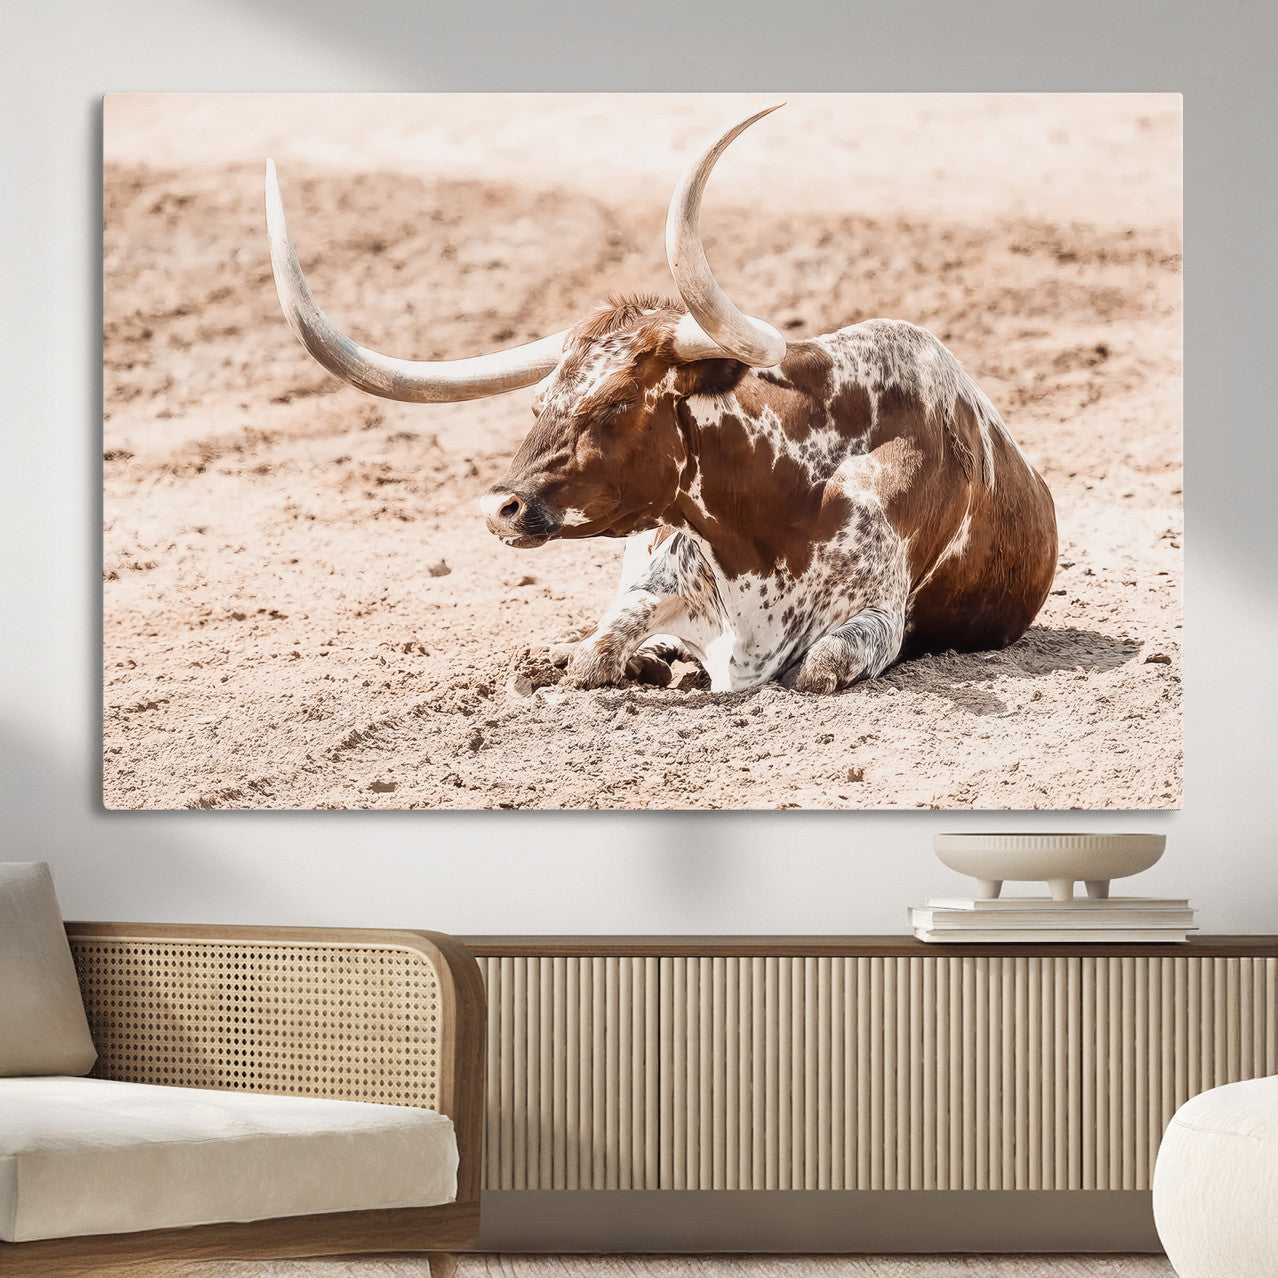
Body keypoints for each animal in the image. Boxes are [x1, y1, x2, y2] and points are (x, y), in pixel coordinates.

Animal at [266, 106, 1057, 693]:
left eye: (616, 403)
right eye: (539, 401)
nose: (501, 508)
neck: (774, 511)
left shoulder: (874, 621)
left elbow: (815, 668)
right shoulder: (652, 579)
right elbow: (595, 652)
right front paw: (610, 660)